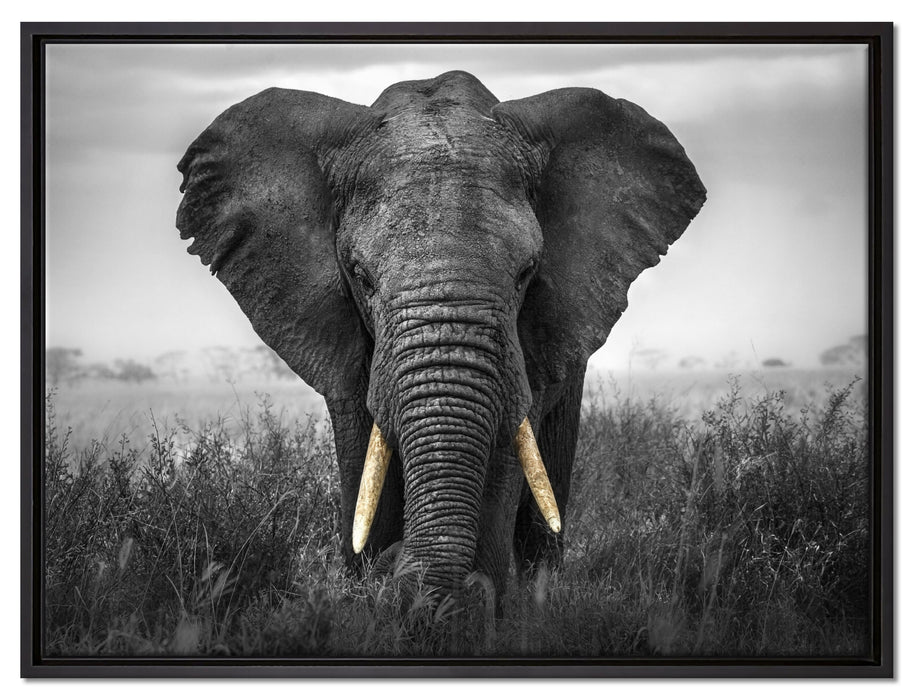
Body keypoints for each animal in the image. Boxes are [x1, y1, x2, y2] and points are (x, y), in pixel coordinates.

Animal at [176, 70, 705, 604]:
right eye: (361, 277)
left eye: (526, 273)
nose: (398, 568)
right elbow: (363, 453)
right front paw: (370, 590)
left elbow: (506, 449)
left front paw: (471, 603)